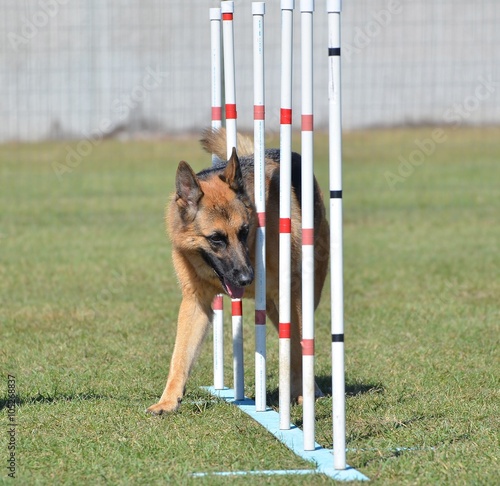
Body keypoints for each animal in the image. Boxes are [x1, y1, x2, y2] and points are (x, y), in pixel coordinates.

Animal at [147, 129, 328, 414]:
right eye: (216, 239)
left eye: (244, 231)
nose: (246, 278)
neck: (253, 247)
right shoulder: (195, 303)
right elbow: (180, 355)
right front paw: (168, 400)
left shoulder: (291, 293)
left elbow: (299, 347)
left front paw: (302, 394)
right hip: (273, 308)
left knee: (299, 343)